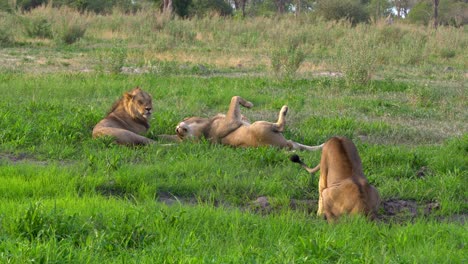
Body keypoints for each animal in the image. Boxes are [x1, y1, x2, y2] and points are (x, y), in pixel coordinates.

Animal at [174, 96, 324, 151]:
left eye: (180, 136)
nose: (178, 130)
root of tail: (284, 146)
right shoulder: (232, 120)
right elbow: (235, 98)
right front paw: (249, 104)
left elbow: (239, 108)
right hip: (259, 125)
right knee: (280, 126)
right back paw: (284, 109)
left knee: (299, 145)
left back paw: (322, 146)